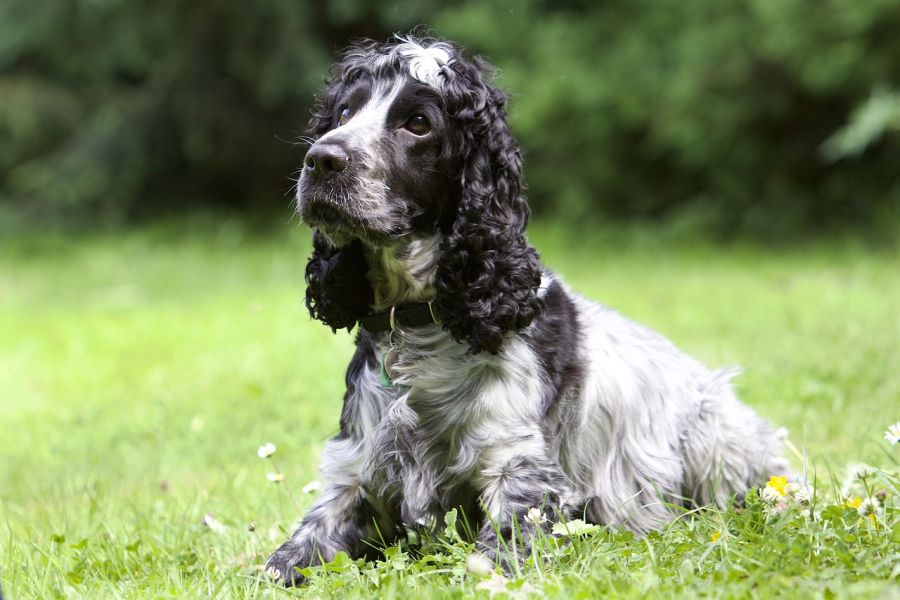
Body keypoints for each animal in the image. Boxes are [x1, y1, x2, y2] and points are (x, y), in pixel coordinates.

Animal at [264, 34, 792, 584]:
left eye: (418, 123)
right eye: (344, 111)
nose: (321, 159)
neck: (420, 326)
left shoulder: (520, 470)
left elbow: (497, 554)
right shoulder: (356, 475)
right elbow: (289, 556)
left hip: (716, 435)